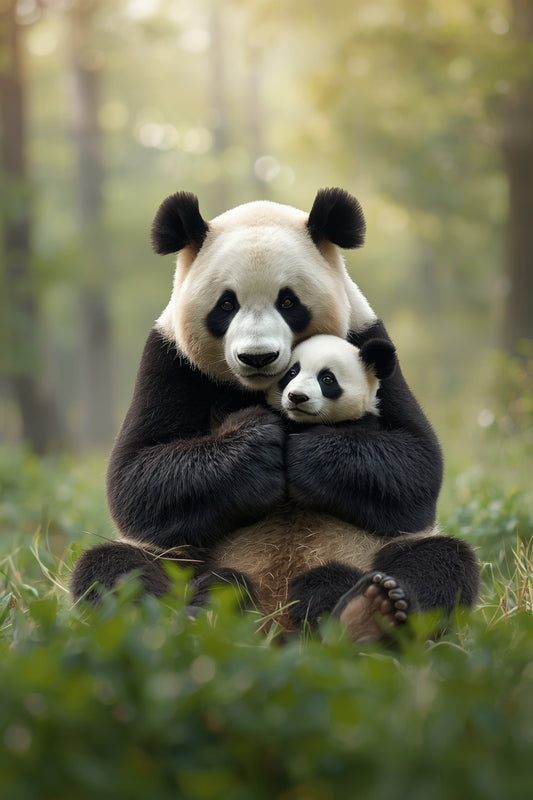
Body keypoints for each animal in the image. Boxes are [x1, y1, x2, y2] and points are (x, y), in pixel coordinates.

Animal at [71, 188, 479, 642]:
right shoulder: (169, 359)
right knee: (115, 569)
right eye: (226, 304)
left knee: (439, 561)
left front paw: (306, 455)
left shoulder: (368, 338)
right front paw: (257, 449)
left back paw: (368, 613)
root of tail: (274, 620)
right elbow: (135, 480)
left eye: (288, 301)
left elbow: (416, 465)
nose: (257, 356)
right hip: (185, 559)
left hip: (370, 551)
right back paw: (194, 622)